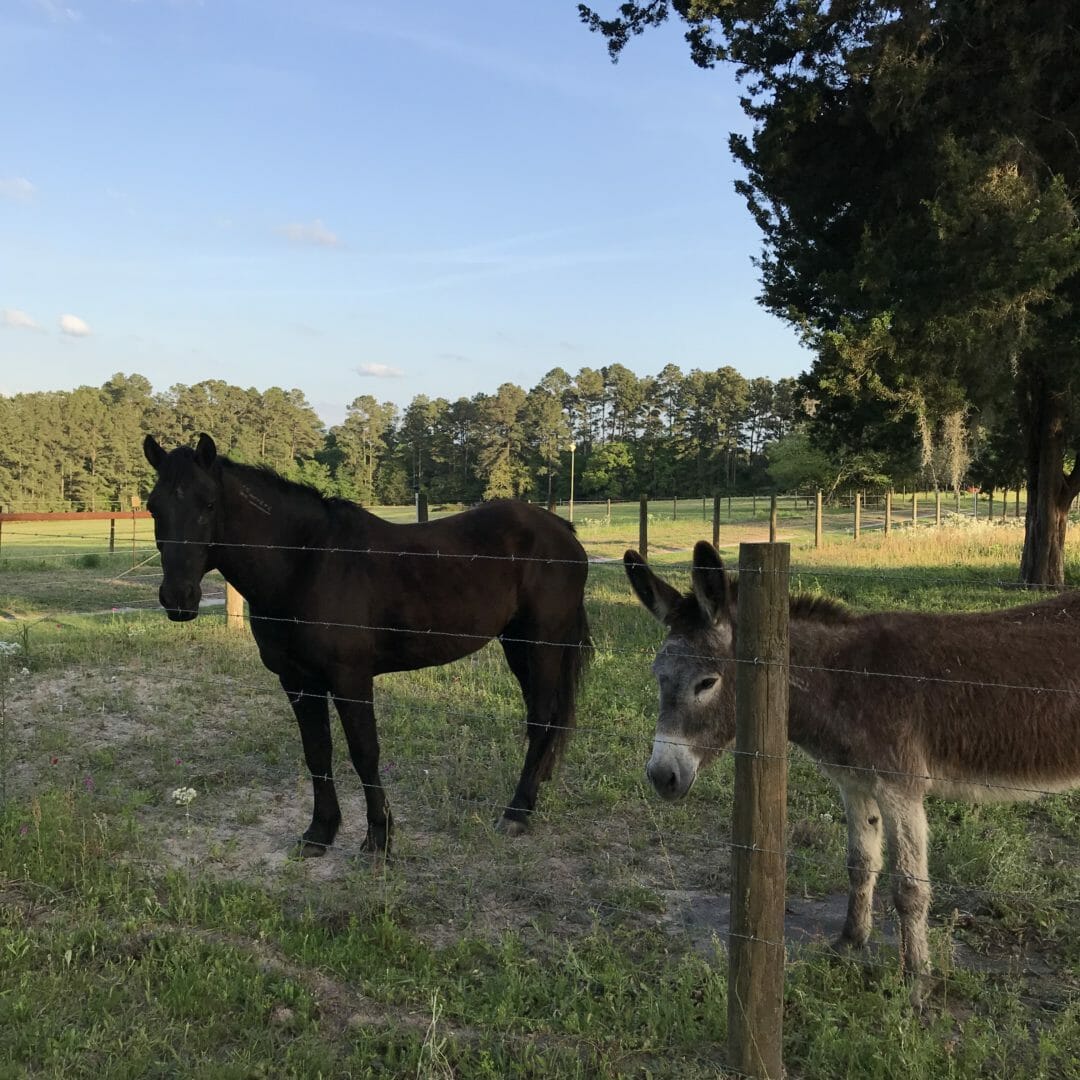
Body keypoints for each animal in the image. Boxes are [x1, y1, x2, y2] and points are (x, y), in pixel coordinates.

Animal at [143, 434, 591, 855]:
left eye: (208, 504)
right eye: (153, 508)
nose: (178, 598)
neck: (306, 564)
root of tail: (562, 531)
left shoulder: (351, 679)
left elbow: (364, 753)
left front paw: (379, 837)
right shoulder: (297, 681)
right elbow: (317, 753)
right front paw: (319, 832)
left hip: (542, 643)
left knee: (542, 719)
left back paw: (517, 812)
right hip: (516, 644)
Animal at [630, 544, 1080, 1006]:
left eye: (707, 683)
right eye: (658, 677)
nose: (662, 776)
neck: (847, 679)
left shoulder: (900, 787)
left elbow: (909, 888)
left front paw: (916, 984)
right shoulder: (855, 782)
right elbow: (861, 863)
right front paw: (851, 941)